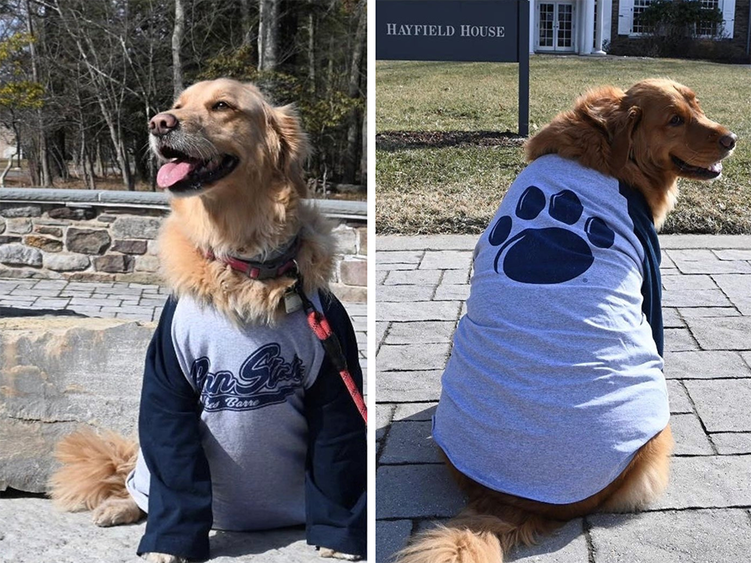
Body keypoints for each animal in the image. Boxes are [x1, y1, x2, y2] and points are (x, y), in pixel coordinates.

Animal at [49, 79, 368, 563]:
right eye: (177, 105)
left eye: (222, 106)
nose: (159, 123)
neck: (246, 263)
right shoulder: (169, 383)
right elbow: (176, 479)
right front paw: (169, 545)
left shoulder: (336, 381)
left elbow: (337, 460)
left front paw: (338, 537)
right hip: (145, 464)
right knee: (139, 484)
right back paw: (119, 506)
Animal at [396, 79, 736, 563]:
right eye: (674, 119)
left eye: (697, 104)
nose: (732, 139)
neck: (606, 150)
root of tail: (508, 502)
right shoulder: (649, 275)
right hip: (655, 435)